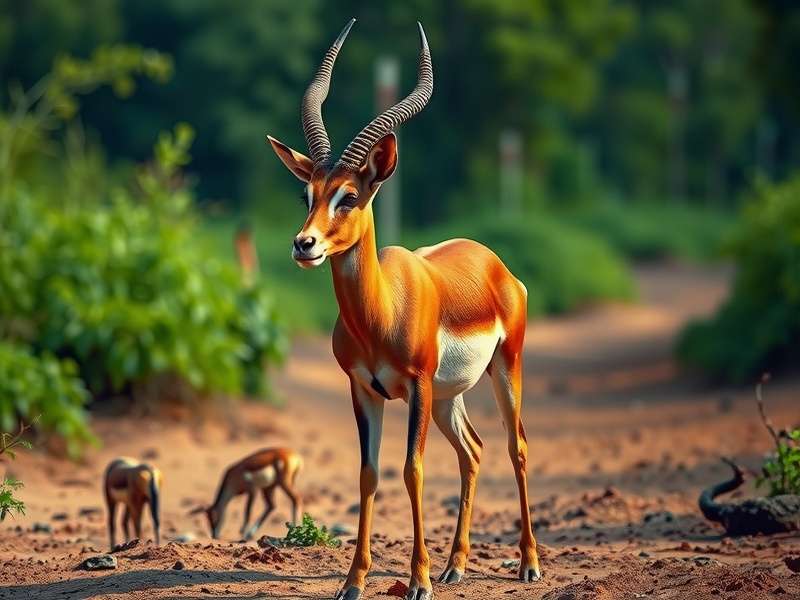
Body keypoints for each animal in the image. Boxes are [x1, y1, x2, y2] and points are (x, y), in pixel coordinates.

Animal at [266, 19, 541, 600]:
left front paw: (417, 581)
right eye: (308, 194)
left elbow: (411, 470)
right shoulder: (363, 389)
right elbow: (368, 473)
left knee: (517, 446)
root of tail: (497, 266)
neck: (381, 312)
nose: (304, 245)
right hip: (446, 397)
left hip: (503, 369)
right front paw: (353, 582)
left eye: (349, 196)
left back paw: (528, 564)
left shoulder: (414, 385)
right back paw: (456, 566)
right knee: (473, 451)